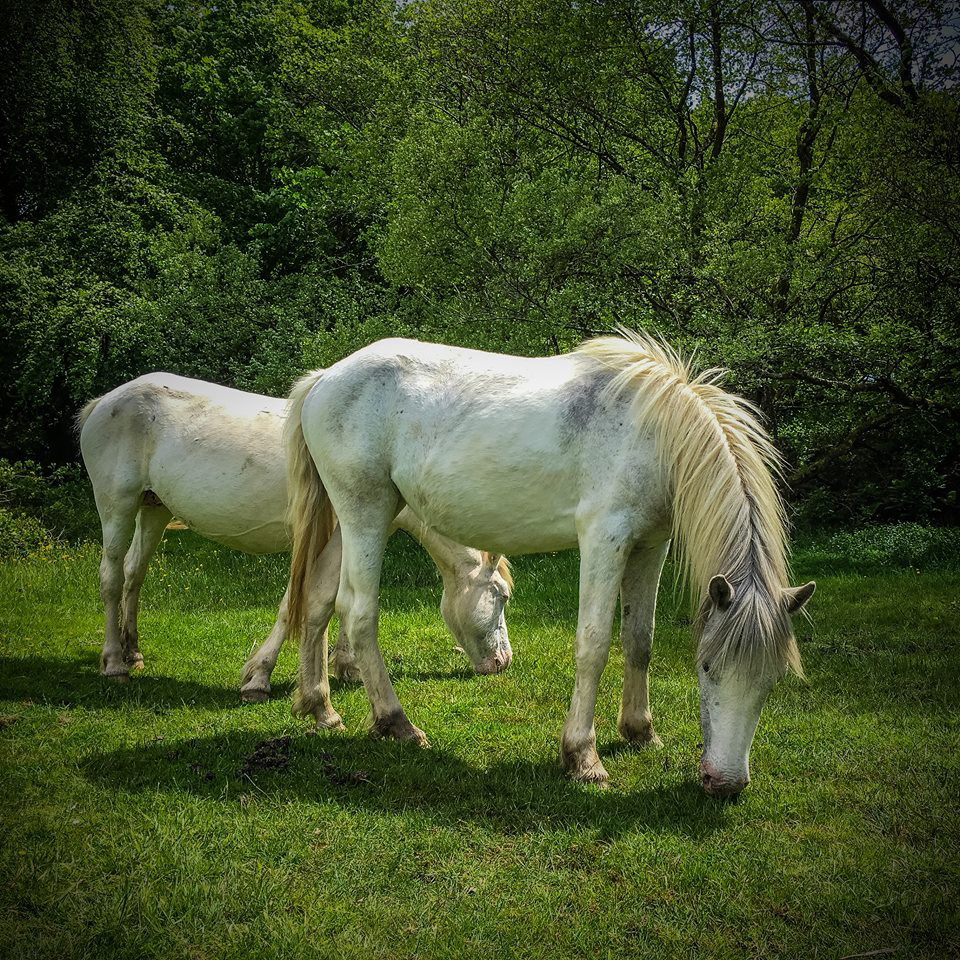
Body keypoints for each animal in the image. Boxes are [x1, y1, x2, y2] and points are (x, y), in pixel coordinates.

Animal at [77, 374, 513, 720]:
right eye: (503, 595)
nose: (504, 661)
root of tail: (105, 402)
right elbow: (298, 605)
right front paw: (260, 678)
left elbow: (333, 600)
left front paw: (346, 665)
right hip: (116, 505)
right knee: (111, 577)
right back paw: (114, 661)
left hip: (154, 509)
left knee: (134, 574)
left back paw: (133, 651)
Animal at [285, 331, 815, 797]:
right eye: (707, 666)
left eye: (772, 679)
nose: (726, 784)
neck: (656, 431)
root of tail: (326, 377)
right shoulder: (606, 538)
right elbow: (594, 644)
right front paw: (583, 758)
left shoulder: (651, 545)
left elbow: (639, 638)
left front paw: (640, 731)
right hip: (367, 512)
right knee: (358, 612)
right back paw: (396, 723)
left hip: (354, 520)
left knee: (320, 599)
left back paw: (321, 708)